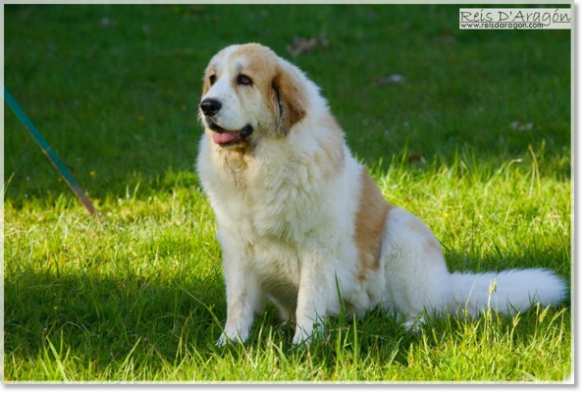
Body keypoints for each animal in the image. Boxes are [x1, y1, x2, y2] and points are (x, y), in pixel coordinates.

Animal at [195, 44, 564, 346]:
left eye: (244, 79)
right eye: (213, 78)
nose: (207, 105)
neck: (257, 167)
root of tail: (446, 284)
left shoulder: (318, 248)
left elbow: (309, 300)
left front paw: (305, 344)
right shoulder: (237, 247)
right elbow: (239, 301)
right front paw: (230, 343)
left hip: (402, 231)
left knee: (427, 312)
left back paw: (409, 328)